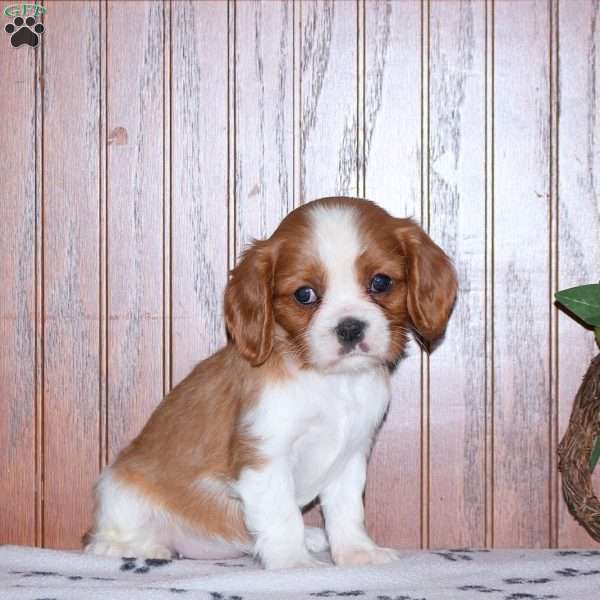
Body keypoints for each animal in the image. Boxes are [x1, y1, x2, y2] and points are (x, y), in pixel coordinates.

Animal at [84, 199, 458, 568]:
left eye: (381, 283)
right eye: (305, 294)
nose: (350, 328)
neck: (330, 382)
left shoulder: (350, 456)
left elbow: (347, 511)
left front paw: (357, 553)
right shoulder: (264, 456)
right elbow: (282, 515)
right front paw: (294, 562)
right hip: (119, 490)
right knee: (98, 541)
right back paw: (134, 548)